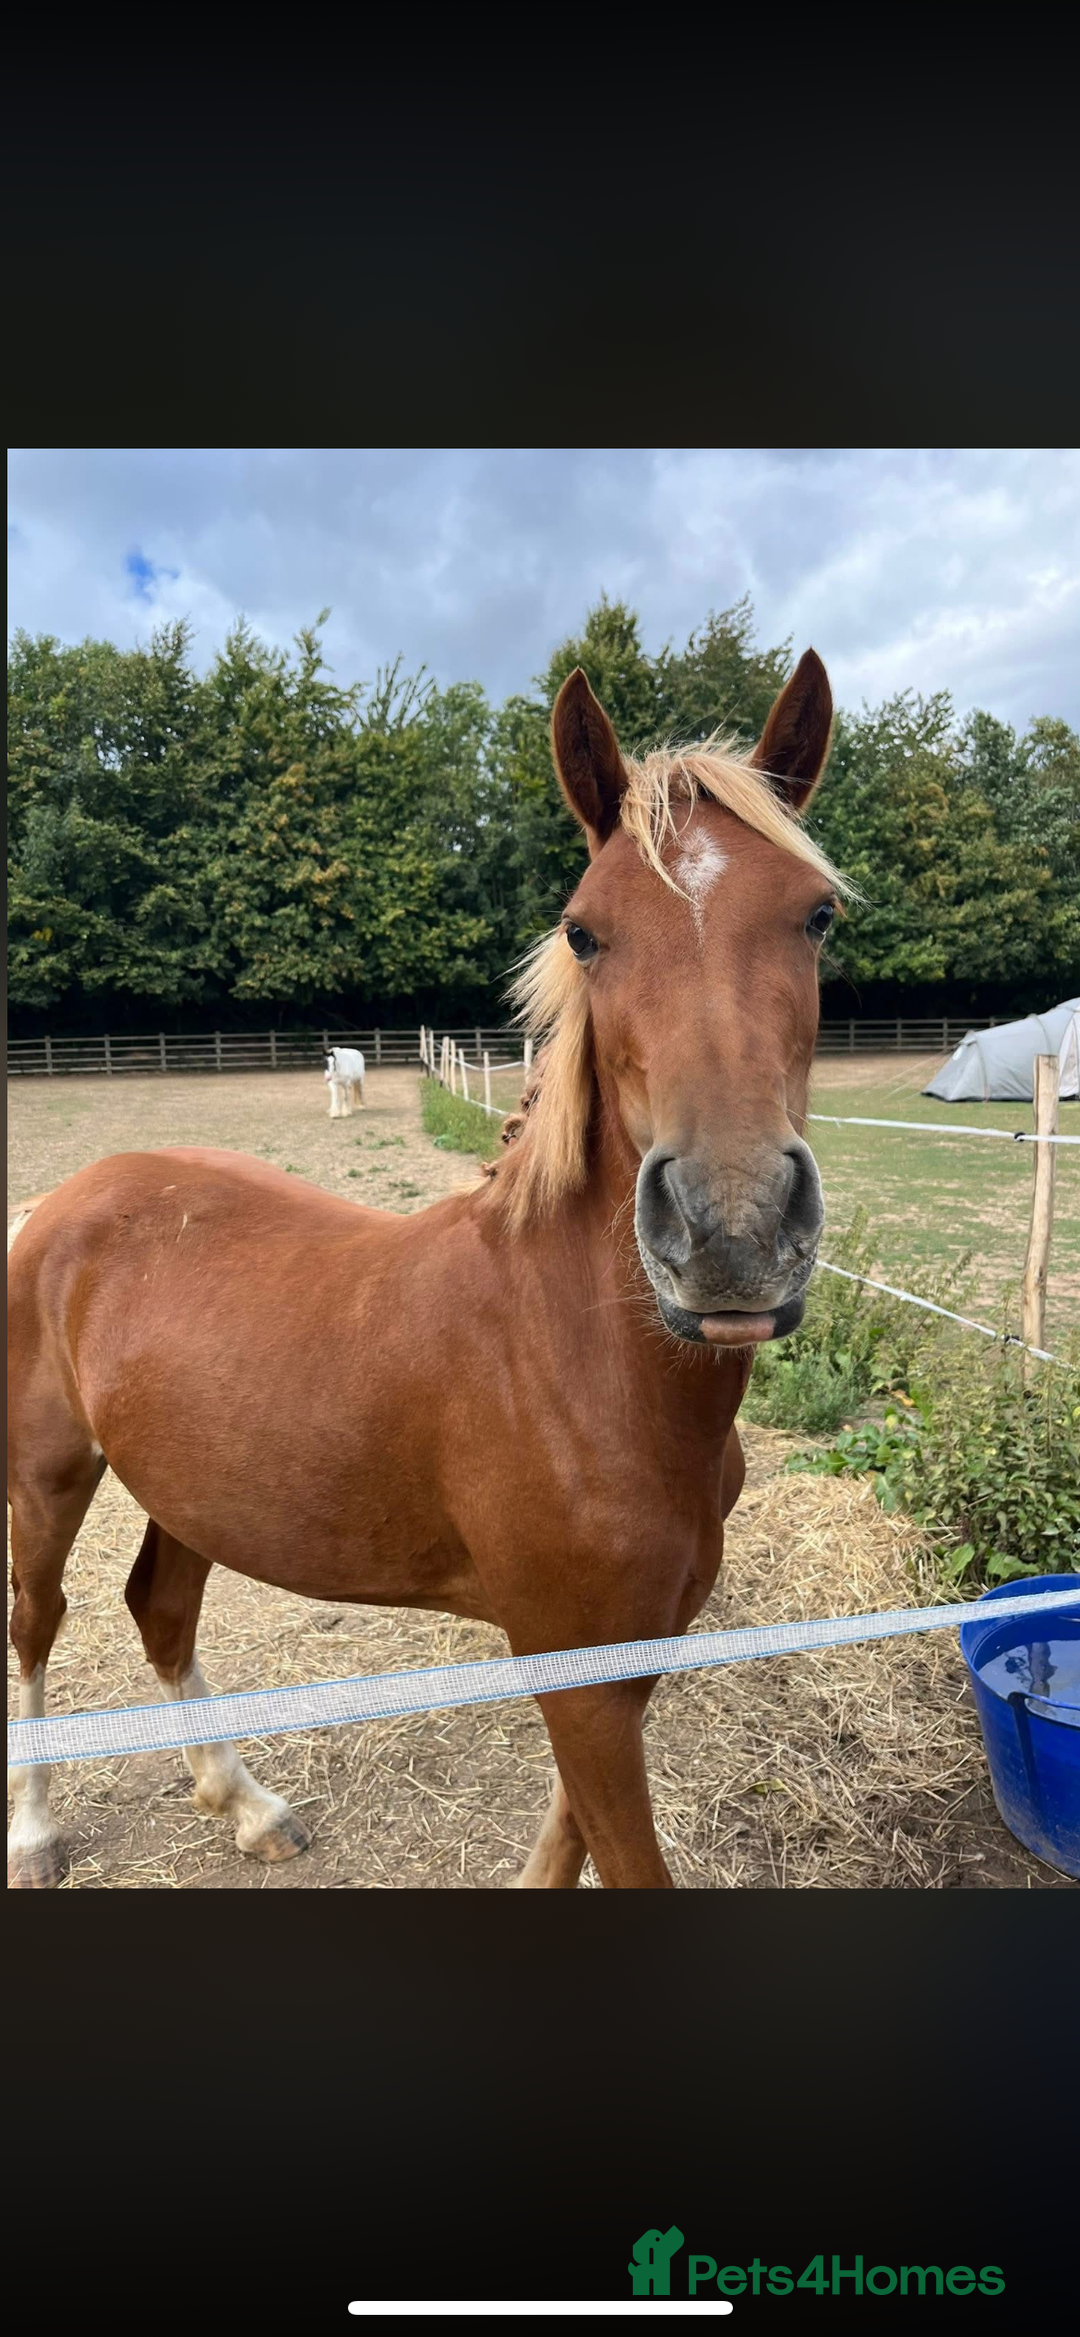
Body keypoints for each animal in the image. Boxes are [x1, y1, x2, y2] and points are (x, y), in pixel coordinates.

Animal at [7, 649, 846, 1889]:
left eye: (817, 914)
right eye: (584, 931)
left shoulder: (629, 1660)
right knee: (35, 1620)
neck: (576, 1361)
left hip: (187, 1488)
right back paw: (35, 1832)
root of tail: (65, 1201)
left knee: (157, 1610)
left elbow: (564, 1845)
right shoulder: (578, 1680)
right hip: (48, 1473)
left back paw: (245, 1805)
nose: (732, 1233)